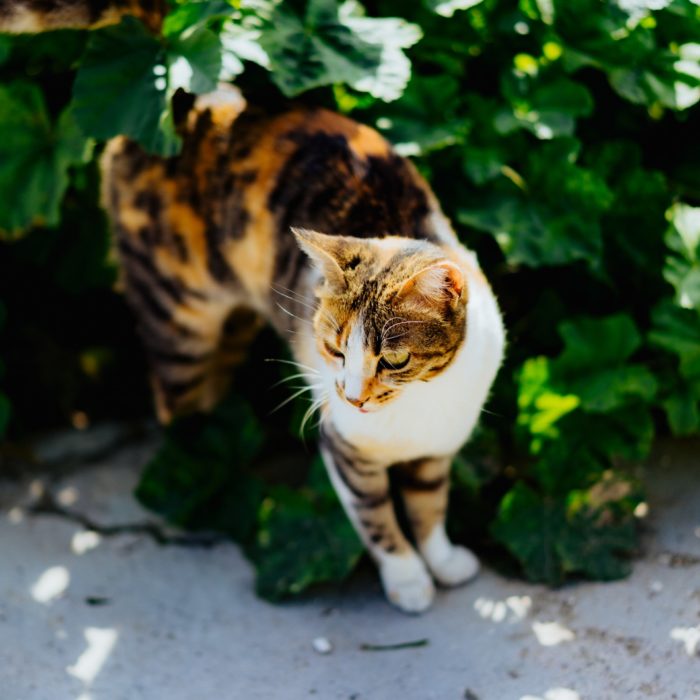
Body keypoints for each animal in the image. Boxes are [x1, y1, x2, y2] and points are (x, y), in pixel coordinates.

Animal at [0, 0, 506, 612]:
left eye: (395, 359)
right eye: (334, 349)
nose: (353, 397)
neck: (415, 411)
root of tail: (178, 87)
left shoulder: (438, 445)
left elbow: (429, 502)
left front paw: (444, 560)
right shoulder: (345, 448)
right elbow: (376, 517)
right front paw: (407, 580)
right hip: (176, 316)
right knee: (176, 398)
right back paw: (196, 465)